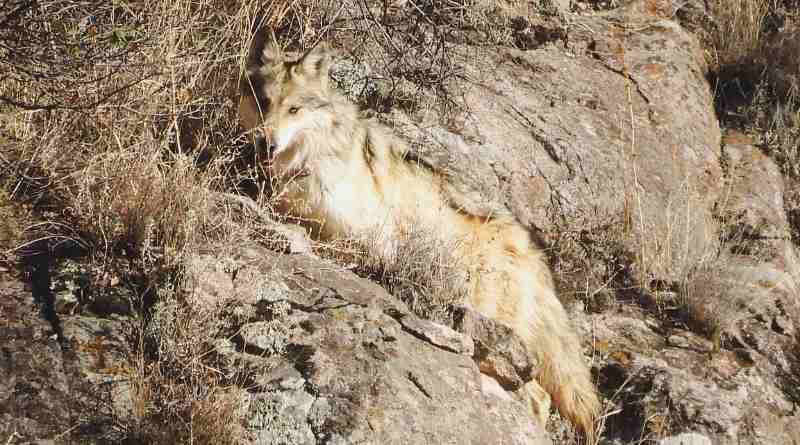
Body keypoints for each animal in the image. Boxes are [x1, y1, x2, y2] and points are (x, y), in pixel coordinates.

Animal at [239, 31, 600, 441]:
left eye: (294, 110)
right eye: (264, 102)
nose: (265, 143)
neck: (311, 160)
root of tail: (534, 253)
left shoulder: (370, 243)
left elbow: (322, 239)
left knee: (538, 396)